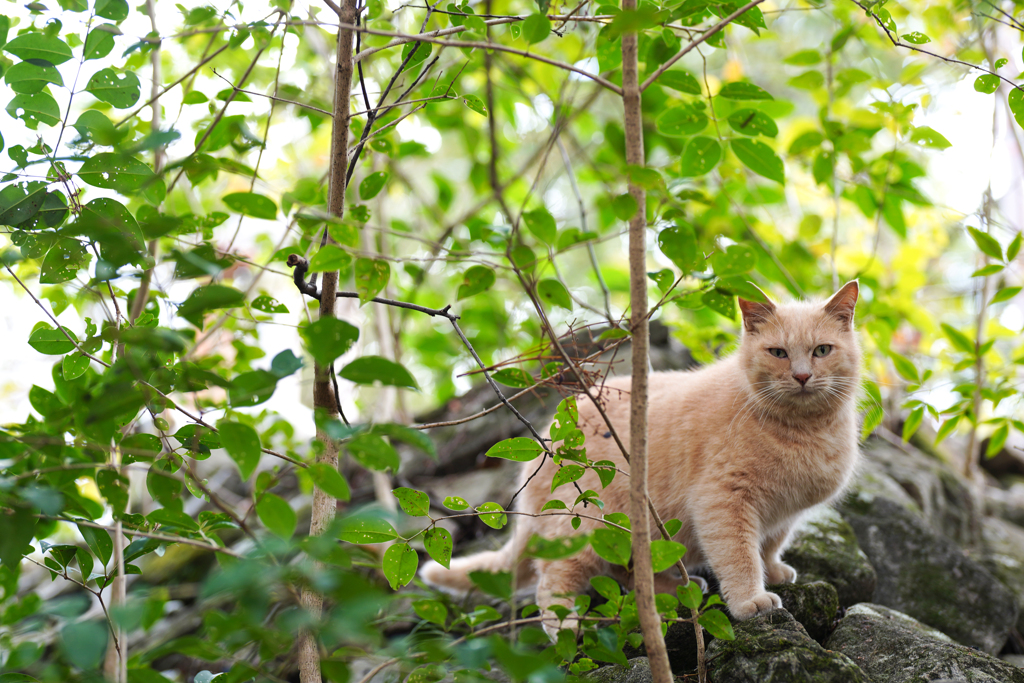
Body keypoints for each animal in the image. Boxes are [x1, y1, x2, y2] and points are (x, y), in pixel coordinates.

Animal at [423, 280, 864, 638]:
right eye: (778, 353)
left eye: (821, 351)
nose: (803, 376)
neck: (803, 432)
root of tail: (546, 440)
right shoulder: (723, 501)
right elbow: (738, 555)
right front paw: (750, 600)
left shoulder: (784, 513)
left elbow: (770, 545)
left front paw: (774, 572)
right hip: (584, 524)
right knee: (554, 581)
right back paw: (566, 627)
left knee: (626, 569)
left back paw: (676, 587)